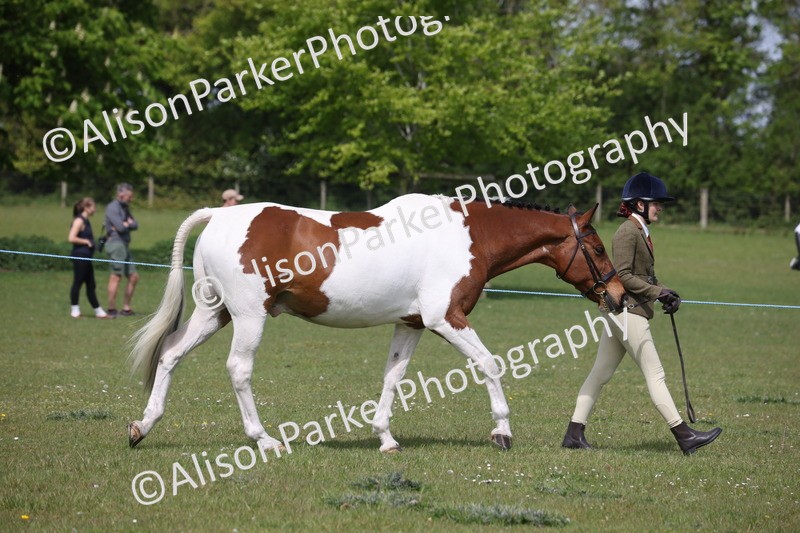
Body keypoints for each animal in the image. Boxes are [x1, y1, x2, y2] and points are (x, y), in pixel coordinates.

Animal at [127, 193, 626, 453]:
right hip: (248, 316)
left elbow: (392, 377)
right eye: (598, 248)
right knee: (238, 370)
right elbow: (489, 364)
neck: (468, 236)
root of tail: (220, 214)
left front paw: (385, 438)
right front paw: (501, 432)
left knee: (170, 354)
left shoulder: (412, 324)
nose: (620, 296)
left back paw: (143, 427)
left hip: (215, 313)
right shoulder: (446, 319)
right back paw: (264, 439)